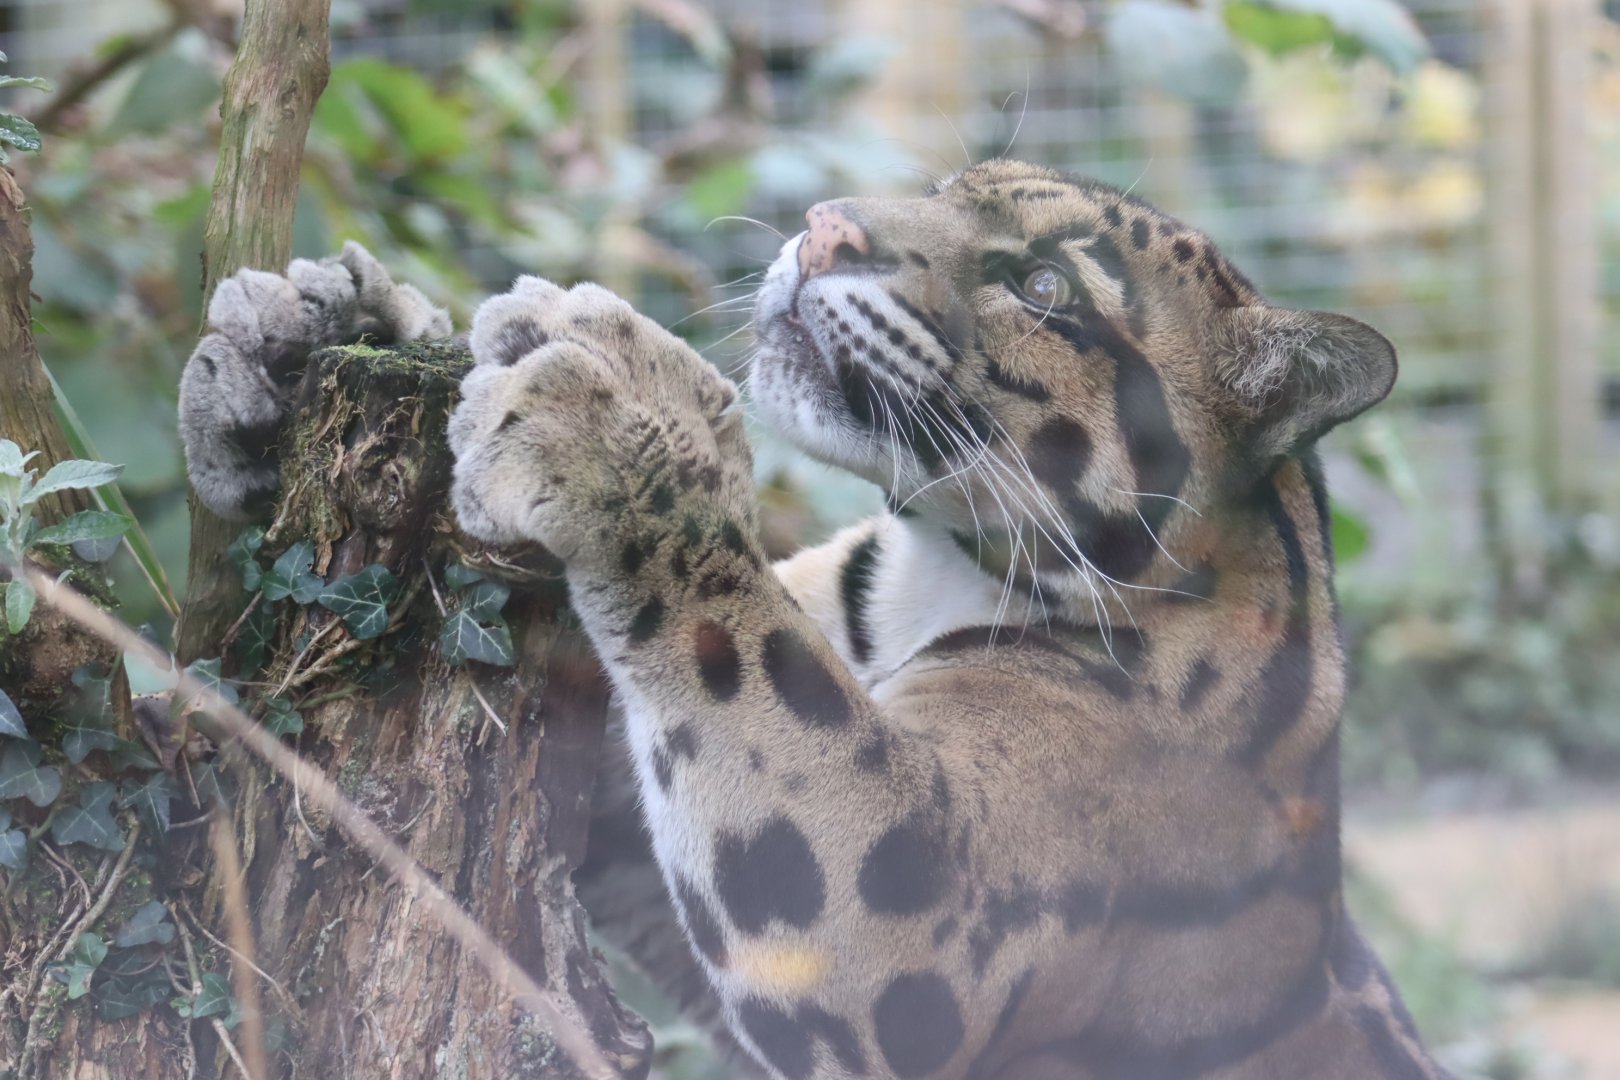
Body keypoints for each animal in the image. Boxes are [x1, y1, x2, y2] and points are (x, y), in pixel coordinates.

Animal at [179, 159, 1453, 1080]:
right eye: (944, 189)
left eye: (1047, 287)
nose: (826, 226)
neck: (933, 569)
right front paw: (302, 334)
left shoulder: (899, 918)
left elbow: (730, 646)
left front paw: (616, 409)